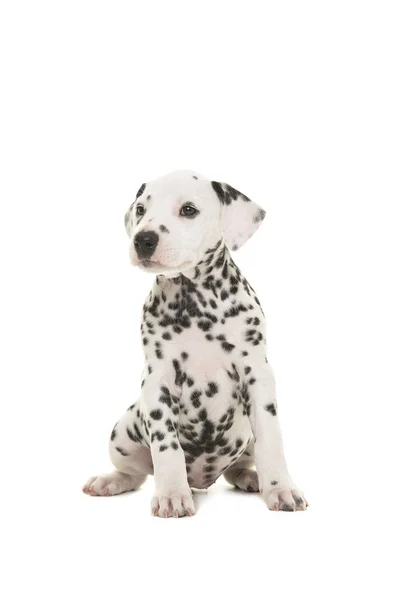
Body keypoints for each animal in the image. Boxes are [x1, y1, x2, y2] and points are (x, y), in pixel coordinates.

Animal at [83, 171, 308, 516]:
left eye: (188, 210)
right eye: (141, 210)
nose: (143, 240)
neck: (196, 303)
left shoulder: (258, 376)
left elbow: (271, 441)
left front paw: (280, 488)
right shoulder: (157, 382)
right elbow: (166, 446)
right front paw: (172, 494)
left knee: (237, 467)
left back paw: (252, 477)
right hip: (122, 432)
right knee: (135, 474)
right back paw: (111, 481)